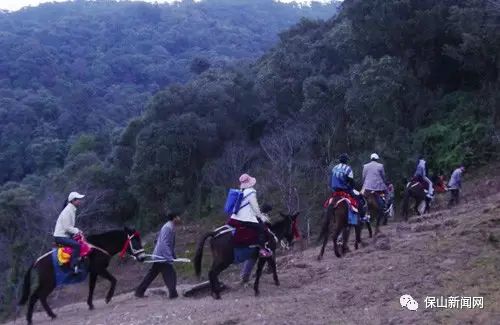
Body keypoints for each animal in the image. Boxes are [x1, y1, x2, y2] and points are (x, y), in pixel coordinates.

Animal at [18, 227, 146, 322]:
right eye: (135, 241)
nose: (143, 258)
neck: (100, 246)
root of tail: (36, 261)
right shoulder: (99, 269)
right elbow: (114, 280)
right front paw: (108, 298)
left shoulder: (94, 272)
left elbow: (92, 287)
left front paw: (90, 304)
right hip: (49, 282)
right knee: (37, 296)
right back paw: (34, 318)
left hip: (49, 283)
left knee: (39, 297)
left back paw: (46, 316)